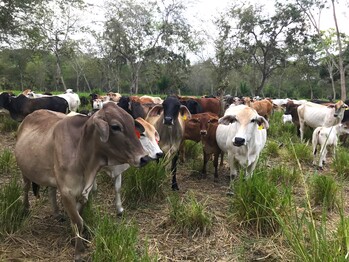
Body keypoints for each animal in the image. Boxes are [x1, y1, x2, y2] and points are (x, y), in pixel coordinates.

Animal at [14, 102, 150, 260]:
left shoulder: (83, 191)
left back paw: (56, 212)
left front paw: (75, 240)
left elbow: (78, 218)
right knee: (25, 188)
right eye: (115, 127)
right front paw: (78, 252)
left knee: (51, 190)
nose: (144, 158)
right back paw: (26, 208)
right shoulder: (66, 192)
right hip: (24, 171)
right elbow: (78, 221)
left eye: (131, 123)